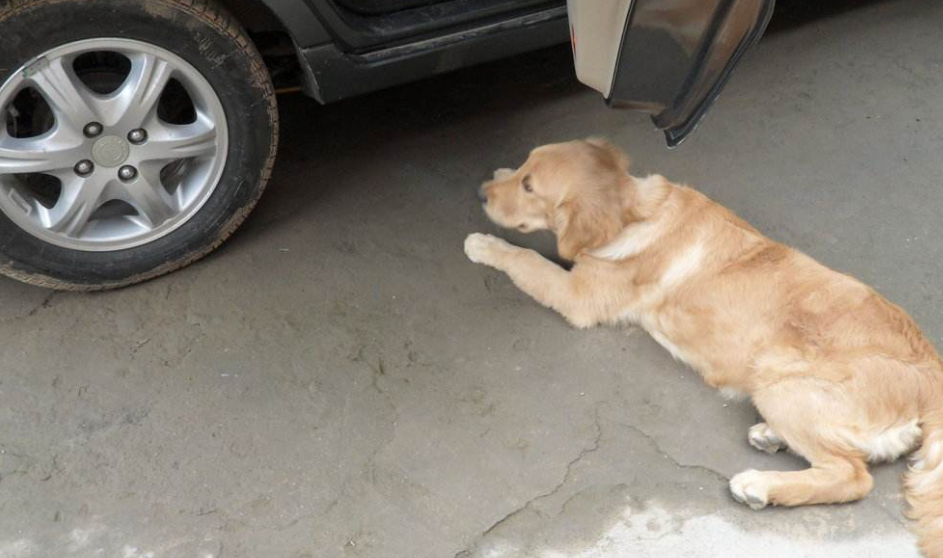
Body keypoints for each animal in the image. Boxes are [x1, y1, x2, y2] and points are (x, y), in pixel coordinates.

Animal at [464, 139, 943, 556]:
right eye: (523, 166)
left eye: (530, 187)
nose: (482, 192)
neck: (635, 215)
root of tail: (931, 372)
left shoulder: (577, 297)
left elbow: (527, 259)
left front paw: (484, 244)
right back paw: (770, 436)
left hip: (776, 373)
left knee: (852, 476)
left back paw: (759, 485)